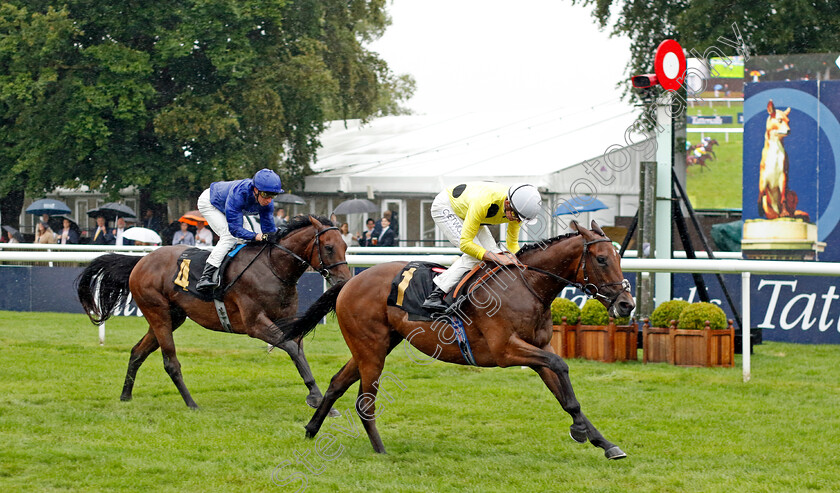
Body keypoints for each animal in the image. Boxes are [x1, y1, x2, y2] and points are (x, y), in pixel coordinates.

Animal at [78, 213, 352, 410]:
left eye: (346, 246)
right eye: (329, 247)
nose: (344, 281)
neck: (273, 268)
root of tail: (141, 261)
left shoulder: (289, 321)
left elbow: (299, 353)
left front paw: (319, 398)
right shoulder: (255, 324)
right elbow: (293, 349)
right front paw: (316, 398)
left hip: (172, 316)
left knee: (137, 352)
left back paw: (125, 396)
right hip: (157, 311)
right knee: (170, 361)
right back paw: (191, 404)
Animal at [276, 221, 636, 460]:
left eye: (620, 258)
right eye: (602, 259)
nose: (626, 304)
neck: (527, 286)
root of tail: (350, 281)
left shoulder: (539, 349)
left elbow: (565, 394)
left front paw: (604, 443)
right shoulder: (506, 350)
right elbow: (562, 366)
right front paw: (581, 432)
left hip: (374, 345)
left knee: (337, 383)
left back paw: (311, 429)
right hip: (372, 349)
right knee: (365, 401)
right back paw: (380, 450)